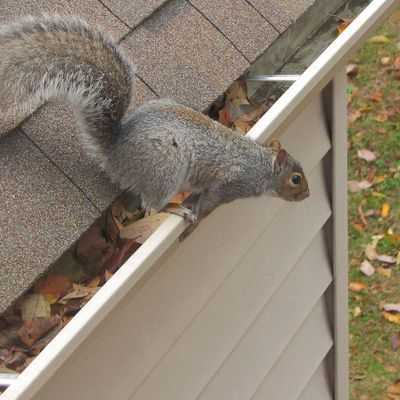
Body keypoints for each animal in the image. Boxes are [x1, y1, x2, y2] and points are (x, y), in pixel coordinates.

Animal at [0, 13, 310, 228]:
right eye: (296, 179)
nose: (307, 196)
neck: (262, 166)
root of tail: (116, 152)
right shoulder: (230, 184)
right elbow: (209, 201)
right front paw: (199, 212)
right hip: (165, 169)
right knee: (151, 207)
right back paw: (177, 209)